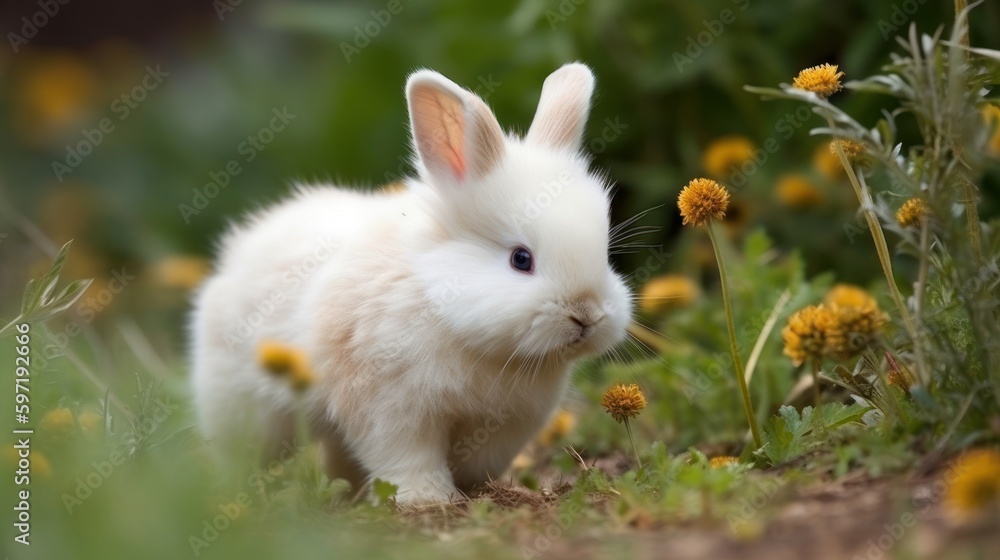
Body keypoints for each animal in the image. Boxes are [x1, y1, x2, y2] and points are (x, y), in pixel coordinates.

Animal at [189, 62, 633, 504]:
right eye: (520, 259)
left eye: (604, 255)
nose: (586, 315)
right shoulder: (389, 405)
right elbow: (406, 457)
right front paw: (426, 499)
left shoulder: (504, 424)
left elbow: (477, 460)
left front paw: (473, 492)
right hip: (240, 407)